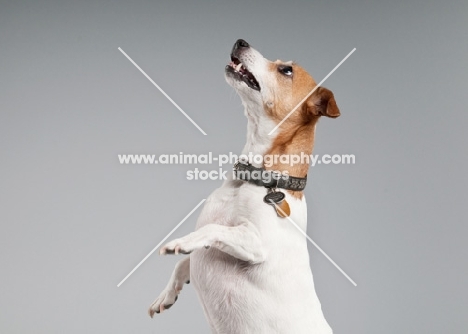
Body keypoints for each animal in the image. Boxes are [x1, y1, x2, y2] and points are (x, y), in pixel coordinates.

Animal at [149, 37, 340, 332]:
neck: (255, 180)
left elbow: (212, 230)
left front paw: (184, 241)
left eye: (286, 70)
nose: (241, 41)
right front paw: (167, 293)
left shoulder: (257, 243)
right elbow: (184, 263)